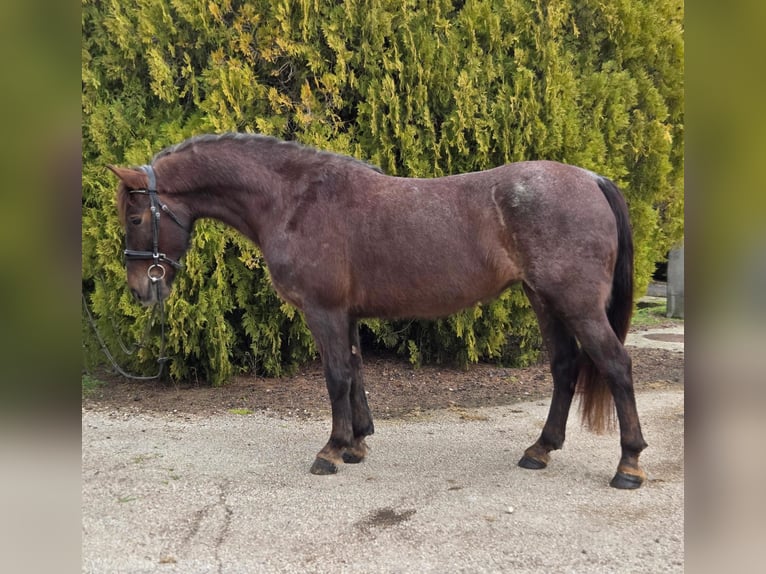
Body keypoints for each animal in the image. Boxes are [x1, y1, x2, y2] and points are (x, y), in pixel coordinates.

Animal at [108, 133, 647, 489]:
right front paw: (357, 443)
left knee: (616, 365)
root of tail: (592, 179)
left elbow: (336, 377)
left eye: (134, 218)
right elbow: (355, 373)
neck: (295, 200)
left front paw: (330, 450)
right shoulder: (345, 315)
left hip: (575, 304)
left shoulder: (323, 312)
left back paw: (629, 465)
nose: (140, 291)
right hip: (544, 300)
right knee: (564, 367)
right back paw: (540, 450)